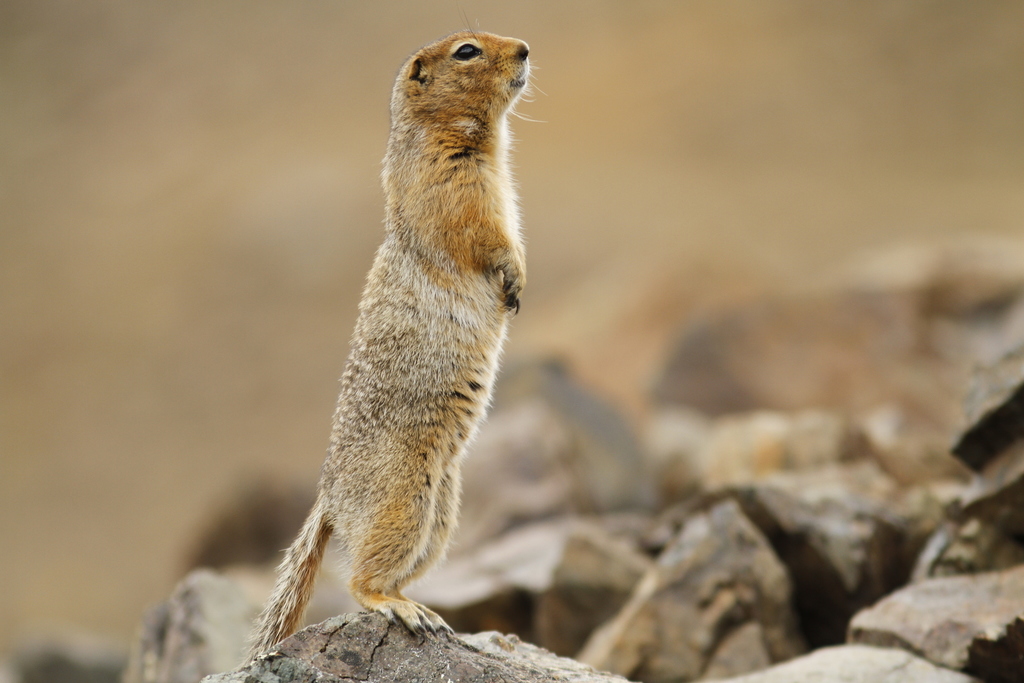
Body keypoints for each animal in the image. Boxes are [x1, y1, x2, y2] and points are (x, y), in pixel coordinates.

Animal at [247, 31, 530, 660]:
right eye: (467, 50)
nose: (526, 48)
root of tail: (328, 498)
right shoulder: (454, 185)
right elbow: (485, 234)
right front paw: (515, 278)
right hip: (402, 500)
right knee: (361, 580)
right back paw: (402, 609)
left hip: (442, 511)